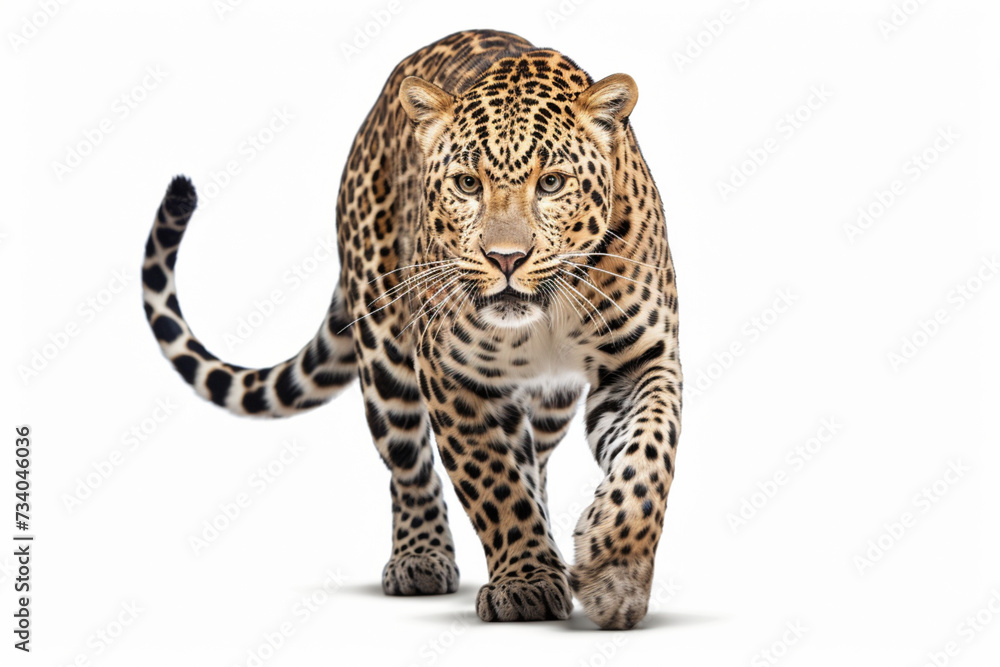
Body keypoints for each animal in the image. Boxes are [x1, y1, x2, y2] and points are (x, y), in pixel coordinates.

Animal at [141, 29, 681, 630]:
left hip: (552, 401)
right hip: (384, 346)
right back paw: (419, 559)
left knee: (535, 458)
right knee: (409, 464)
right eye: (467, 184)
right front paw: (526, 582)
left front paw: (614, 573)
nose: (506, 258)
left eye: (551, 183)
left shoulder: (642, 363)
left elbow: (648, 459)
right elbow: (495, 485)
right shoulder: (453, 376)